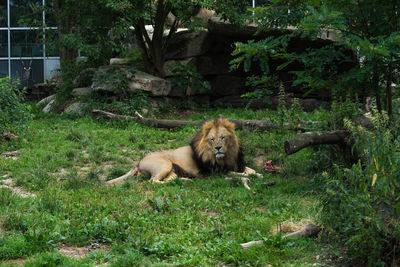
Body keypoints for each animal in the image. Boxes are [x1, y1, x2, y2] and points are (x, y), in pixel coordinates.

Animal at [106, 118, 260, 186]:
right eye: (212, 139)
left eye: (223, 137)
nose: (218, 148)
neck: (226, 156)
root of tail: (138, 162)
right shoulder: (217, 172)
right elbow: (238, 174)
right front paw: (253, 176)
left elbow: (249, 170)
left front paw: (257, 174)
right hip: (165, 164)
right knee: (153, 181)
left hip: (171, 170)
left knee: (168, 179)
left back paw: (184, 180)